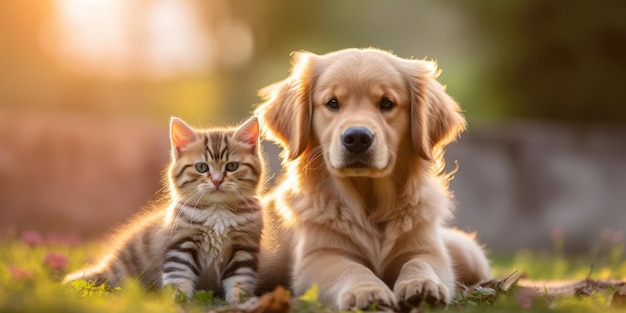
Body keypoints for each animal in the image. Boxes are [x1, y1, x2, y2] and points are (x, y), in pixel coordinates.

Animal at [65, 116, 264, 302]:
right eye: (201, 167)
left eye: (232, 166)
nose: (217, 180)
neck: (218, 212)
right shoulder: (180, 244)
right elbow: (179, 277)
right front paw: (179, 301)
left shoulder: (244, 248)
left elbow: (240, 279)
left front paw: (239, 302)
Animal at [252, 47, 488, 308]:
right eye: (332, 103)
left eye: (387, 103)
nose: (357, 137)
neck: (369, 202)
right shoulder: (320, 255)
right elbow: (350, 268)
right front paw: (366, 291)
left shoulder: (427, 248)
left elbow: (419, 261)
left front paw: (423, 285)